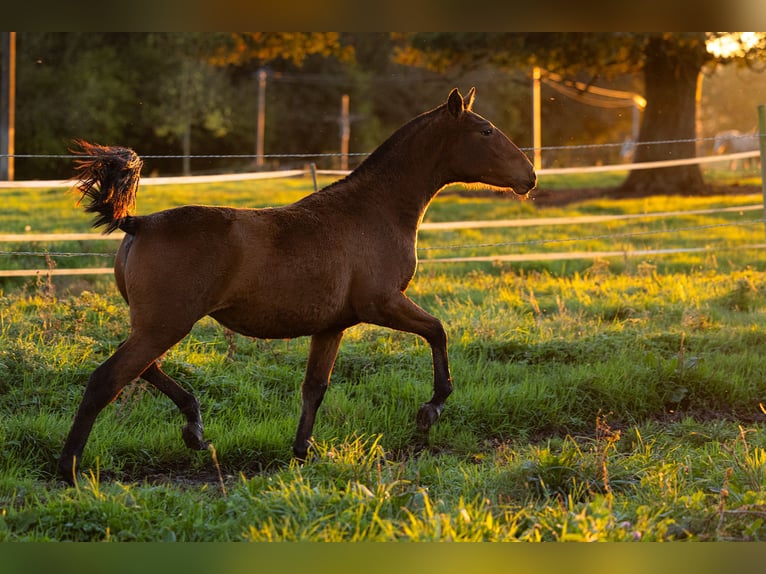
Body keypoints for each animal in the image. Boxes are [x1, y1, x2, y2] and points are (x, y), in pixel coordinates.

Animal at [57, 89, 536, 486]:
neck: (374, 210)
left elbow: (314, 388)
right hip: (165, 326)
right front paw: (430, 410)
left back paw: (194, 430)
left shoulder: (332, 326)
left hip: (156, 326)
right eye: (486, 130)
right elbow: (438, 330)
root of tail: (138, 222)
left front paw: (302, 452)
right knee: (107, 380)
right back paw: (70, 471)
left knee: (144, 370)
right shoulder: (382, 304)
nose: (530, 176)